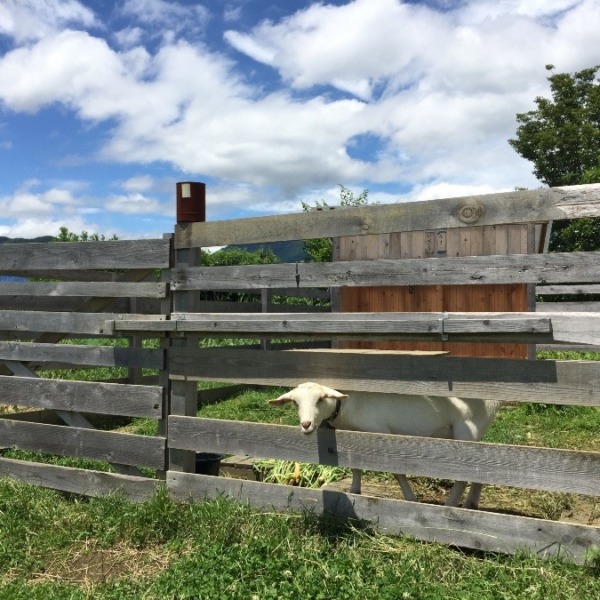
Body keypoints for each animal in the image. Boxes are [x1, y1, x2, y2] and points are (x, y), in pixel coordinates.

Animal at [268, 382, 502, 509]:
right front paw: (354, 491)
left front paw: (410, 498)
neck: (347, 406)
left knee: (465, 475)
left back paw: (450, 505)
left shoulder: (381, 433)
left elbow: (396, 471)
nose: (306, 425)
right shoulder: (356, 435)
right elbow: (356, 466)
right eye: (295, 402)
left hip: (466, 430)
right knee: (480, 470)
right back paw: (470, 503)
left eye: (320, 399)